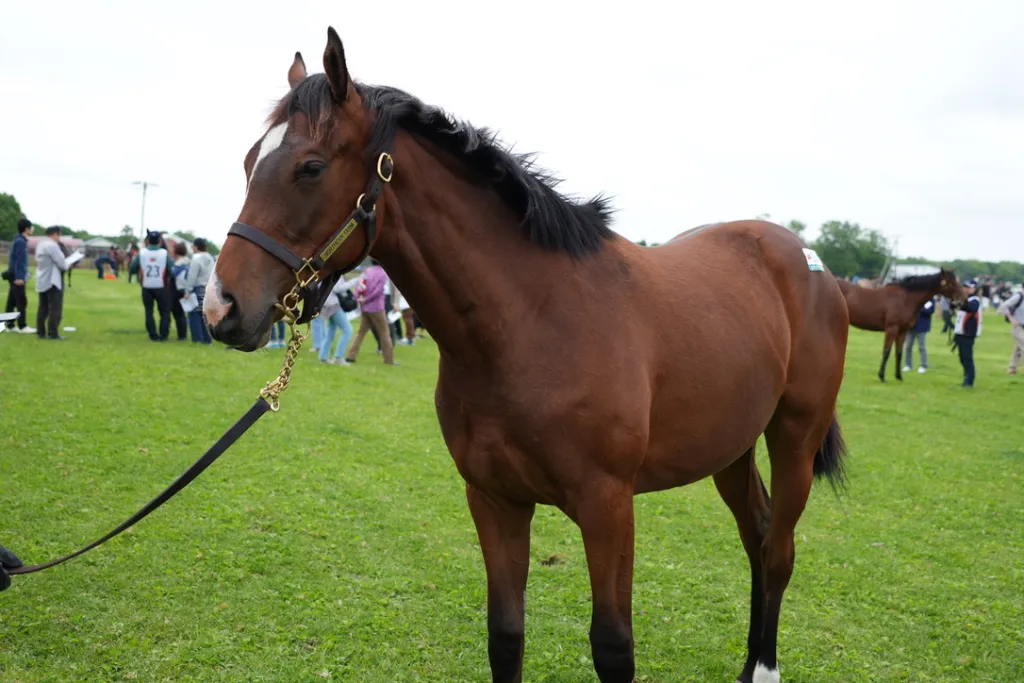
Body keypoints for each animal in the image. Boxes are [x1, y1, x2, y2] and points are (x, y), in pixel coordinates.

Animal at [204, 29, 851, 683]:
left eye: (310, 167)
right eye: (249, 162)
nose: (220, 306)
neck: (533, 324)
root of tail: (805, 259)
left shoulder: (608, 507)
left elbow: (613, 646)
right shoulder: (495, 500)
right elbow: (506, 634)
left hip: (793, 437)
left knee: (778, 550)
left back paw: (764, 667)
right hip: (731, 447)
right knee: (757, 534)